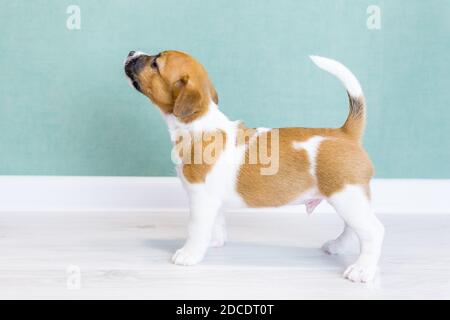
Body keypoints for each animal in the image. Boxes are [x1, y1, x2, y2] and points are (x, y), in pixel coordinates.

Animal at [123, 50, 384, 282]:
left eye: (155, 63)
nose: (131, 52)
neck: (198, 125)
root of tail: (345, 133)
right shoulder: (213, 201)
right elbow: (216, 223)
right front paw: (214, 241)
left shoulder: (200, 199)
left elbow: (196, 229)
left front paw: (189, 254)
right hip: (349, 199)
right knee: (353, 229)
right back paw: (338, 247)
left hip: (347, 197)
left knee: (373, 231)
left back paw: (362, 270)